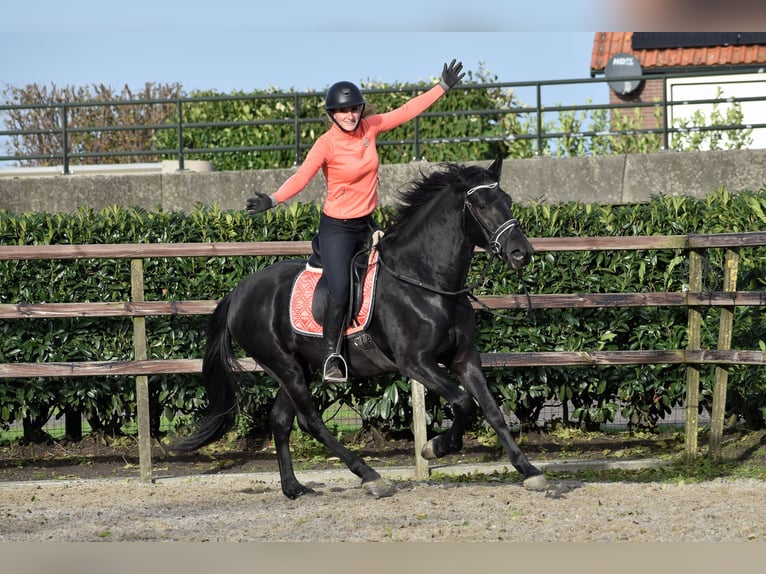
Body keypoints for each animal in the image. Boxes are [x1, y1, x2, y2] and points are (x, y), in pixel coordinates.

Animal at [177, 158, 548, 500]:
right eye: (482, 205)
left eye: (507, 200)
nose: (521, 253)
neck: (426, 280)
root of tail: (238, 292)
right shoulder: (416, 362)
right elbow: (462, 402)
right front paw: (435, 448)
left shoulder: (464, 357)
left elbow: (491, 410)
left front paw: (528, 470)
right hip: (284, 366)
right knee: (310, 421)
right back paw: (370, 476)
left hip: (297, 366)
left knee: (281, 421)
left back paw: (294, 487)